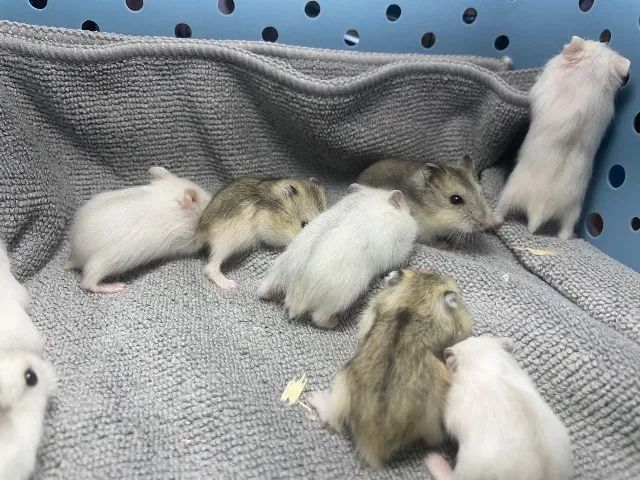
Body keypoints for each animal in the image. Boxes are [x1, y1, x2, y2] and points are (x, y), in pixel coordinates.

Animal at [66, 167, 211, 293]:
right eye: (206, 203)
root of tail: (78, 255)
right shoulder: (186, 240)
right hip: (102, 262)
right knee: (88, 282)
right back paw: (112, 287)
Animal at [196, 177, 326, 290]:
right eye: (304, 224)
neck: (278, 211)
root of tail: (201, 229)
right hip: (225, 242)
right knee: (211, 267)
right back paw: (229, 285)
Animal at [258, 185, 417, 329]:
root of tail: (293, 296)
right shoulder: (399, 250)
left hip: (276, 273)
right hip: (340, 297)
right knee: (319, 317)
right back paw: (335, 323)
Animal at [356, 156, 493, 243]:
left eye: (481, 192)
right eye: (455, 199)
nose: (484, 224)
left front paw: (459, 242)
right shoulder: (424, 233)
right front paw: (444, 245)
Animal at [494, 37, 630, 239]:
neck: (590, 72)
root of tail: (538, 212)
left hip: (510, 192)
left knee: (501, 211)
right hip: (572, 211)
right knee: (566, 230)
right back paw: (564, 237)